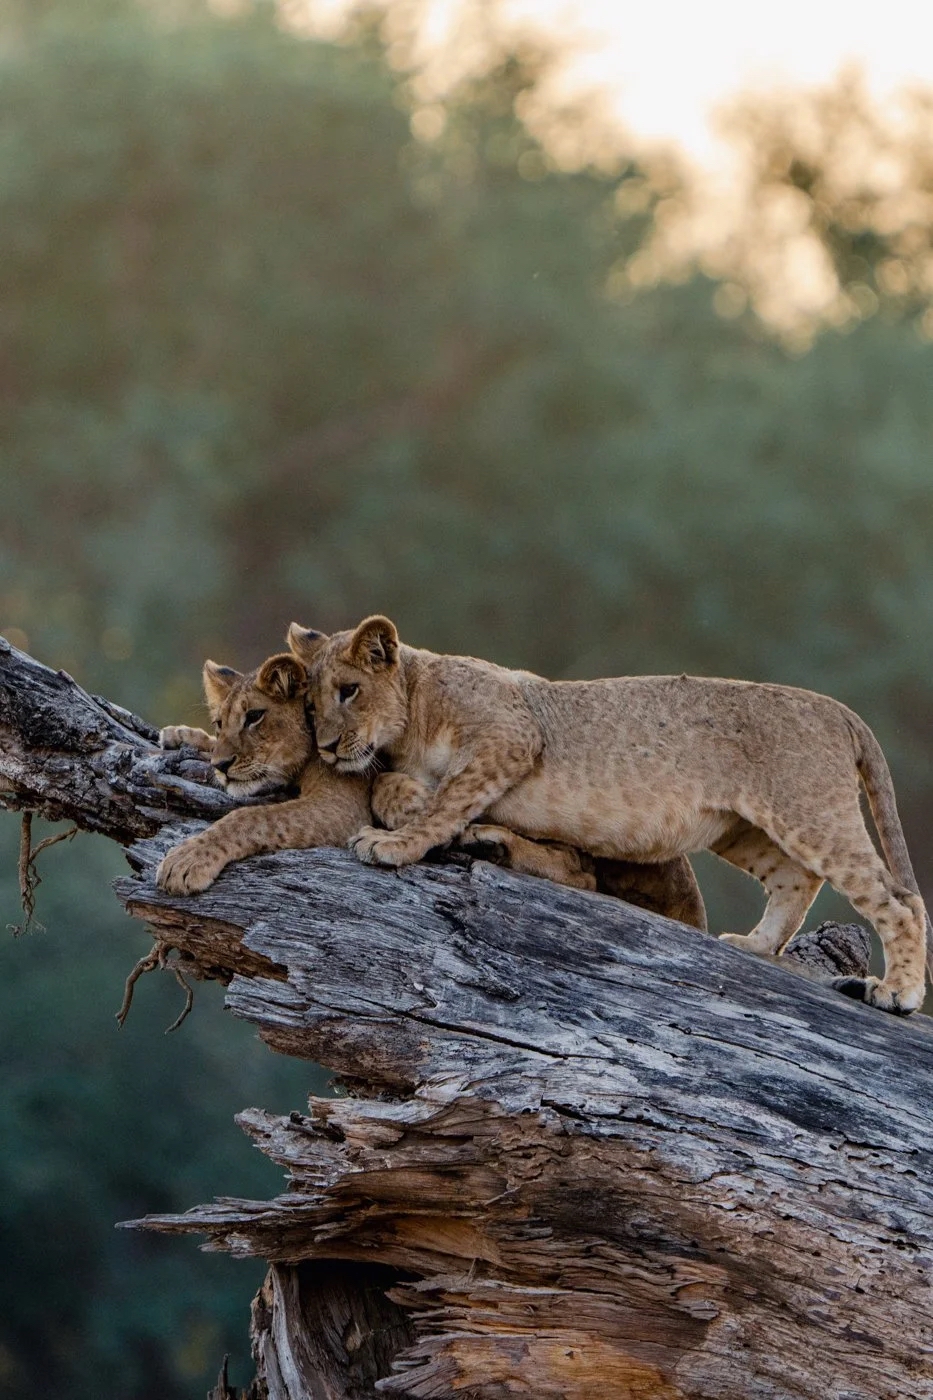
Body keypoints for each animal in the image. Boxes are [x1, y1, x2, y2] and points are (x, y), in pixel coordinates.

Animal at [155, 650, 707, 930]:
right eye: (222, 721)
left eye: (255, 717)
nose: (223, 766)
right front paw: (181, 735)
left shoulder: (337, 804)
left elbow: (247, 818)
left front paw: (187, 861)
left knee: (582, 872)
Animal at [290, 614, 932, 1014]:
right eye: (309, 704)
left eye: (349, 691)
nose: (326, 747)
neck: (415, 707)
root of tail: (837, 708)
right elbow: (394, 785)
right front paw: (430, 815)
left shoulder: (512, 736)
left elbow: (447, 796)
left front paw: (401, 842)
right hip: (740, 826)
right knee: (797, 879)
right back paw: (753, 945)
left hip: (808, 810)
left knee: (897, 901)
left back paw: (897, 993)